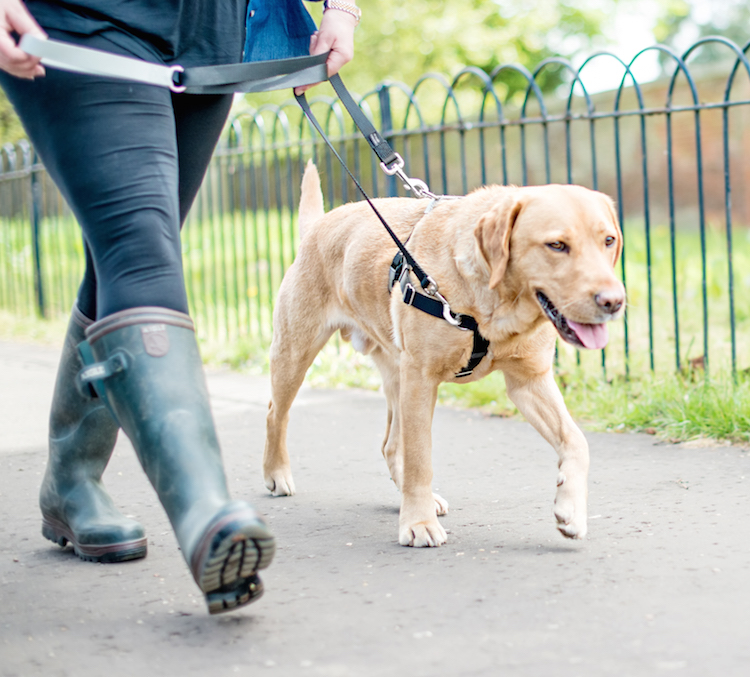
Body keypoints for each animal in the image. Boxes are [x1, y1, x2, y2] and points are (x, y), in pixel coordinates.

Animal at [262, 161, 624, 548]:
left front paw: (571, 509)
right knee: (275, 414)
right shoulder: (421, 379)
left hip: (397, 375)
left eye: (608, 241)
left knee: (391, 445)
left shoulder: (529, 382)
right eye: (556, 245)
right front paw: (417, 522)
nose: (614, 301)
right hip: (296, 354)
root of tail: (316, 227)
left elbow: (576, 441)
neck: (494, 305)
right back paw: (276, 473)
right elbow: (421, 458)